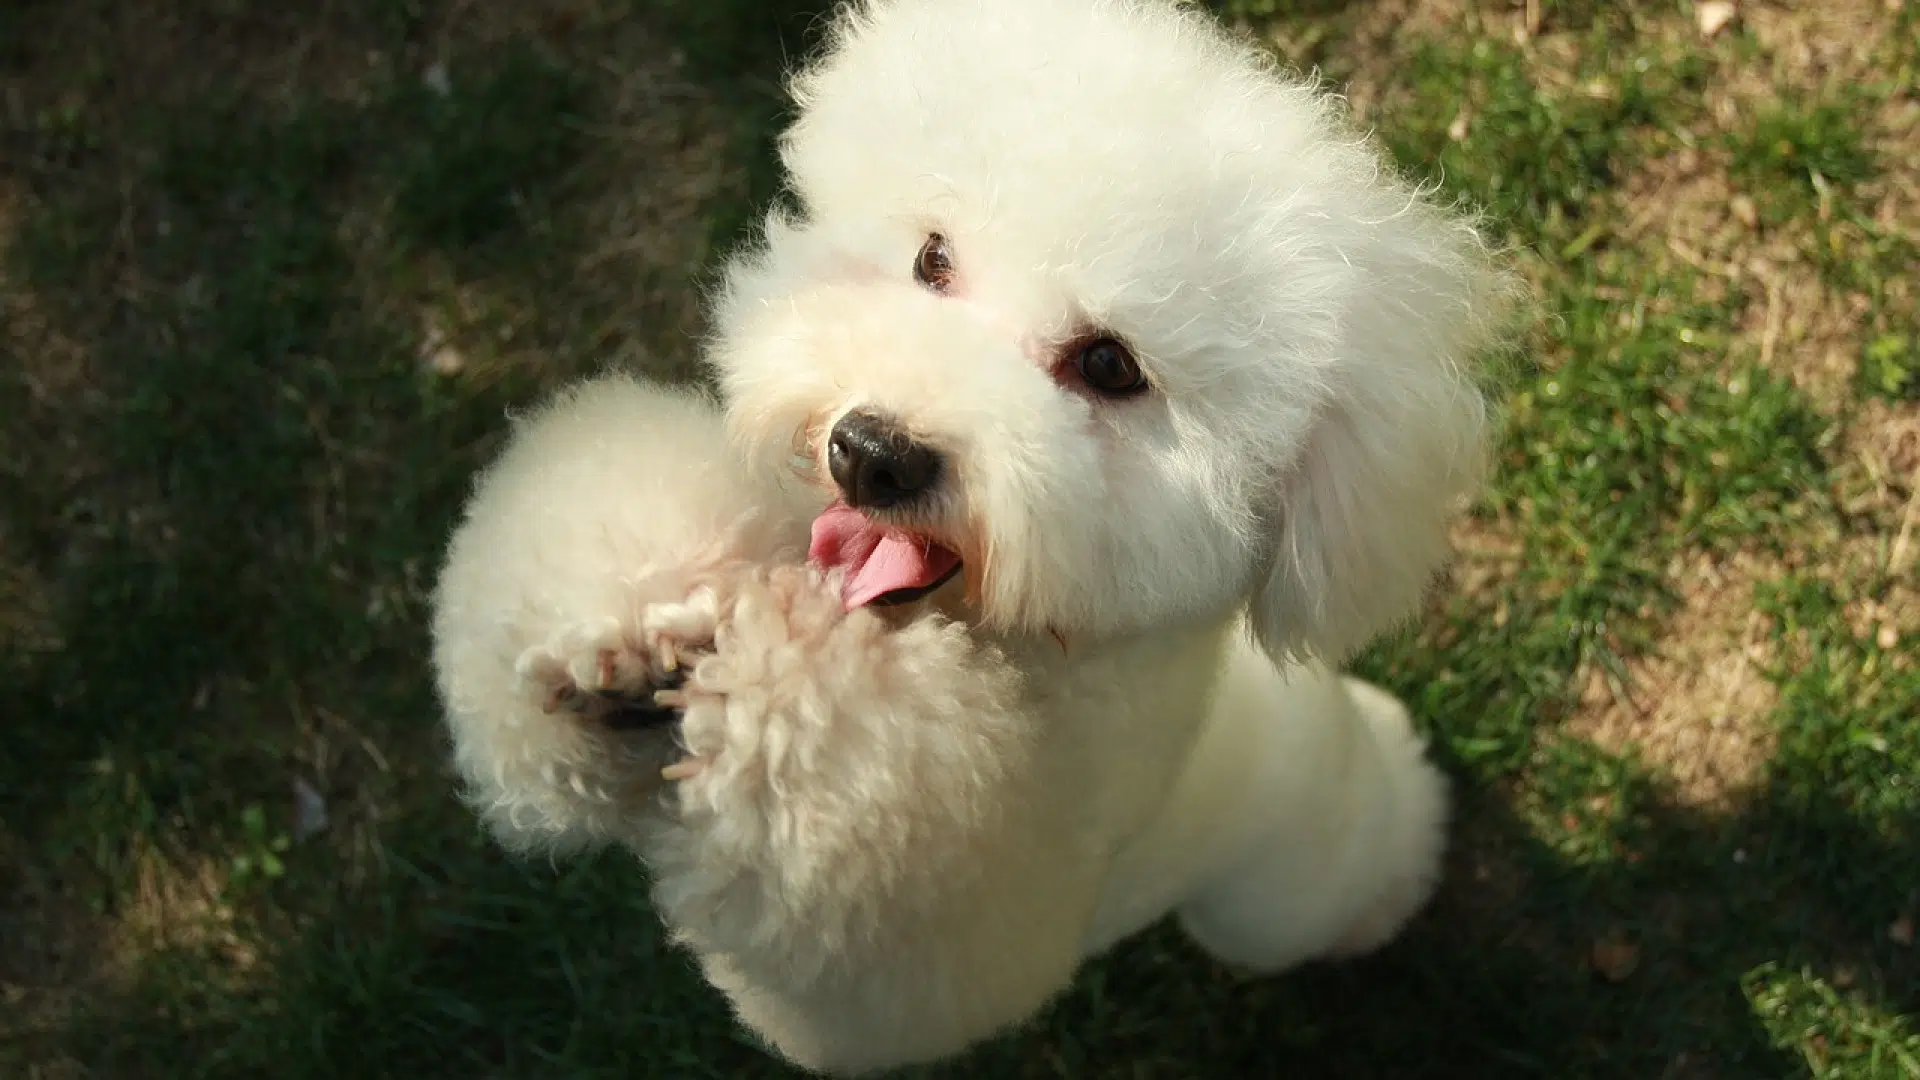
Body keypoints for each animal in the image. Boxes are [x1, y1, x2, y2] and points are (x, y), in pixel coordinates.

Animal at [428, 4, 1505, 1068]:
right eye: (932, 261)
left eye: (1110, 366)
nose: (870, 453)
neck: (1009, 640)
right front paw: (615, 641)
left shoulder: (947, 941)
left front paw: (775, 684)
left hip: (1277, 895)